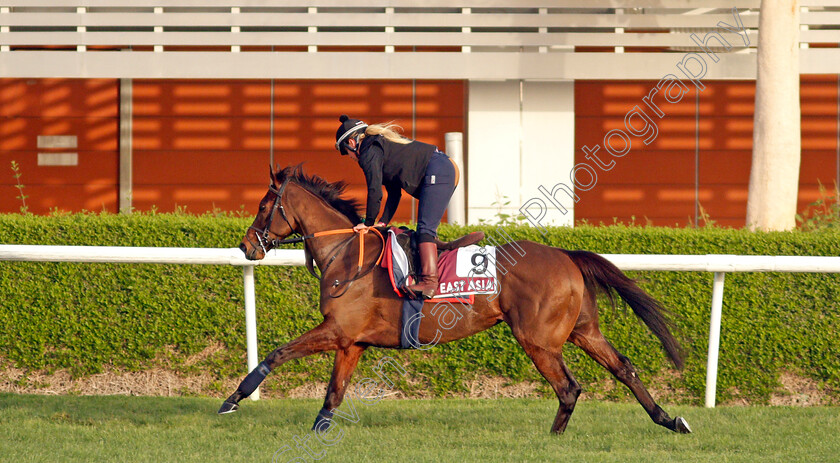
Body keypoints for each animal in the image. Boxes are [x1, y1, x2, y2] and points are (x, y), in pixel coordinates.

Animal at [220, 165, 692, 436]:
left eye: (263, 205)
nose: (247, 246)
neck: (346, 253)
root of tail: (565, 255)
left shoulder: (336, 330)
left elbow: (277, 354)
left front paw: (231, 400)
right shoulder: (351, 341)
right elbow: (333, 393)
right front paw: (318, 432)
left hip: (538, 339)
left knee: (569, 387)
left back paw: (553, 438)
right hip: (582, 330)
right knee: (624, 369)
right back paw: (670, 420)